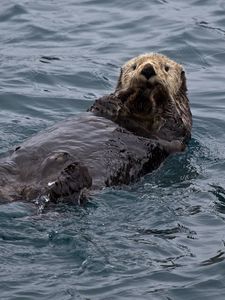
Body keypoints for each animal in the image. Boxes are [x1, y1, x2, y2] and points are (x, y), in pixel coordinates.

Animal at [0, 53, 192, 204]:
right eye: (134, 66)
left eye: (166, 68)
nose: (148, 69)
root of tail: (22, 191)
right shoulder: (99, 110)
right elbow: (102, 104)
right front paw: (118, 98)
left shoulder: (178, 132)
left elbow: (172, 123)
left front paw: (161, 91)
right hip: (8, 167)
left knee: (62, 195)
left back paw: (71, 174)